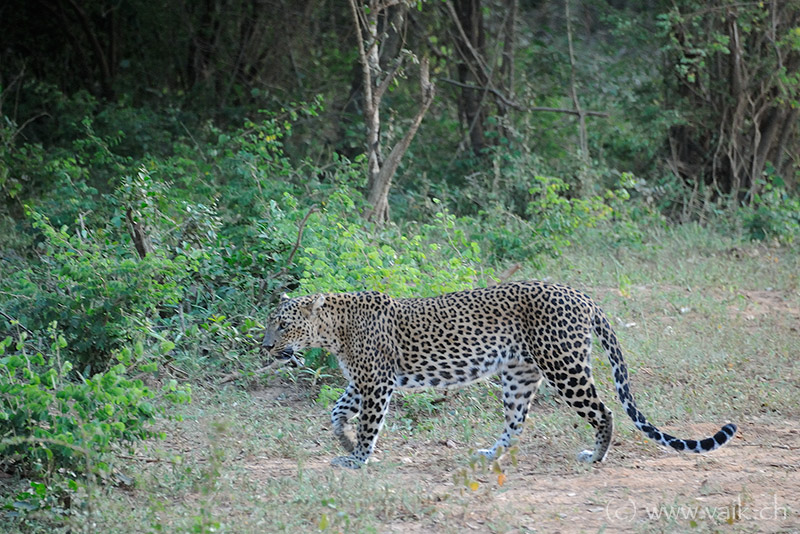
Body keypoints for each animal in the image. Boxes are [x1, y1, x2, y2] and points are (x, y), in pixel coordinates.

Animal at [262, 282, 736, 472]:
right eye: (270, 324)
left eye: (282, 325)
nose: (265, 347)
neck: (333, 330)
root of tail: (582, 295)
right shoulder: (363, 381)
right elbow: (336, 411)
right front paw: (343, 442)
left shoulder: (377, 383)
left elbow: (368, 425)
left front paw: (358, 457)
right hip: (519, 375)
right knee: (517, 421)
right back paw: (491, 454)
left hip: (564, 367)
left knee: (604, 410)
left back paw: (596, 456)